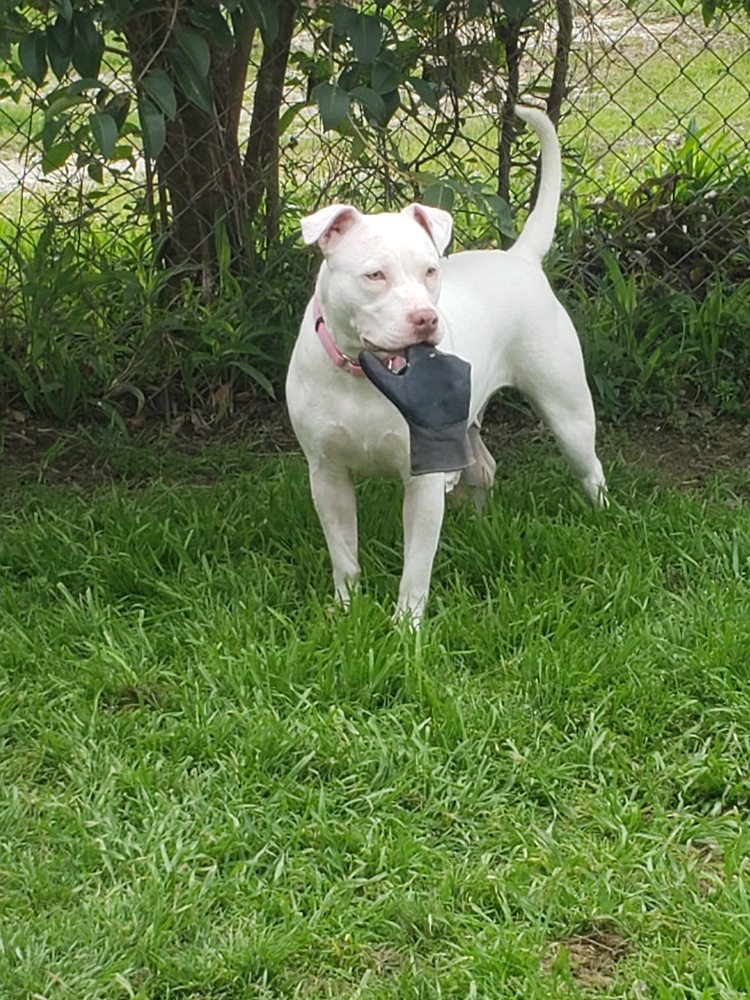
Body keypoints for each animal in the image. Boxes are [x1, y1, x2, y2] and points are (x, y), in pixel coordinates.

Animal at [284, 105, 608, 620]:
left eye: (430, 270)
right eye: (374, 275)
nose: (425, 318)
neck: (367, 375)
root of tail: (520, 259)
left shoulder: (422, 482)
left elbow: (416, 565)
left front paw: (407, 624)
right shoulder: (327, 474)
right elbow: (344, 553)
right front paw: (346, 609)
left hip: (567, 411)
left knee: (589, 466)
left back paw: (604, 516)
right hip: (467, 424)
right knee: (484, 467)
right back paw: (478, 523)